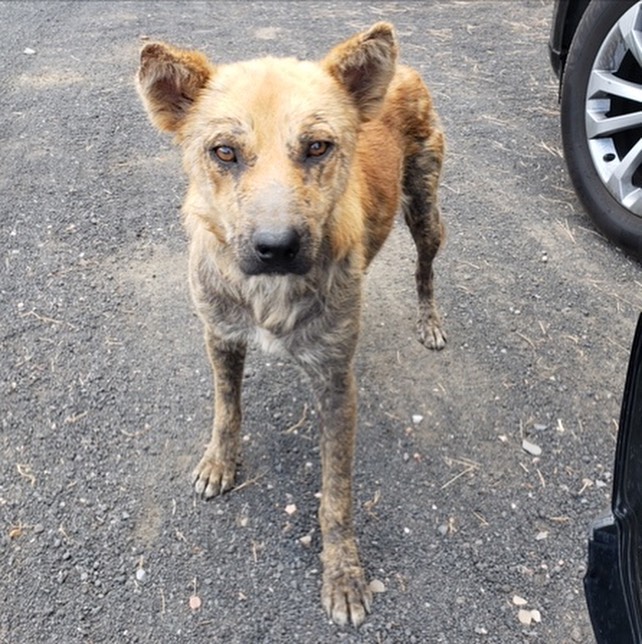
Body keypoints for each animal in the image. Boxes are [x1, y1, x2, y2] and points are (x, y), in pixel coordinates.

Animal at [135, 22, 444, 628]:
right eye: (224, 152)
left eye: (318, 146)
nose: (275, 247)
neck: (267, 296)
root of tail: (405, 66)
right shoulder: (220, 337)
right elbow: (226, 410)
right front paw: (220, 462)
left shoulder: (337, 386)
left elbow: (336, 497)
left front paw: (343, 574)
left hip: (426, 210)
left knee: (424, 268)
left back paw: (430, 320)